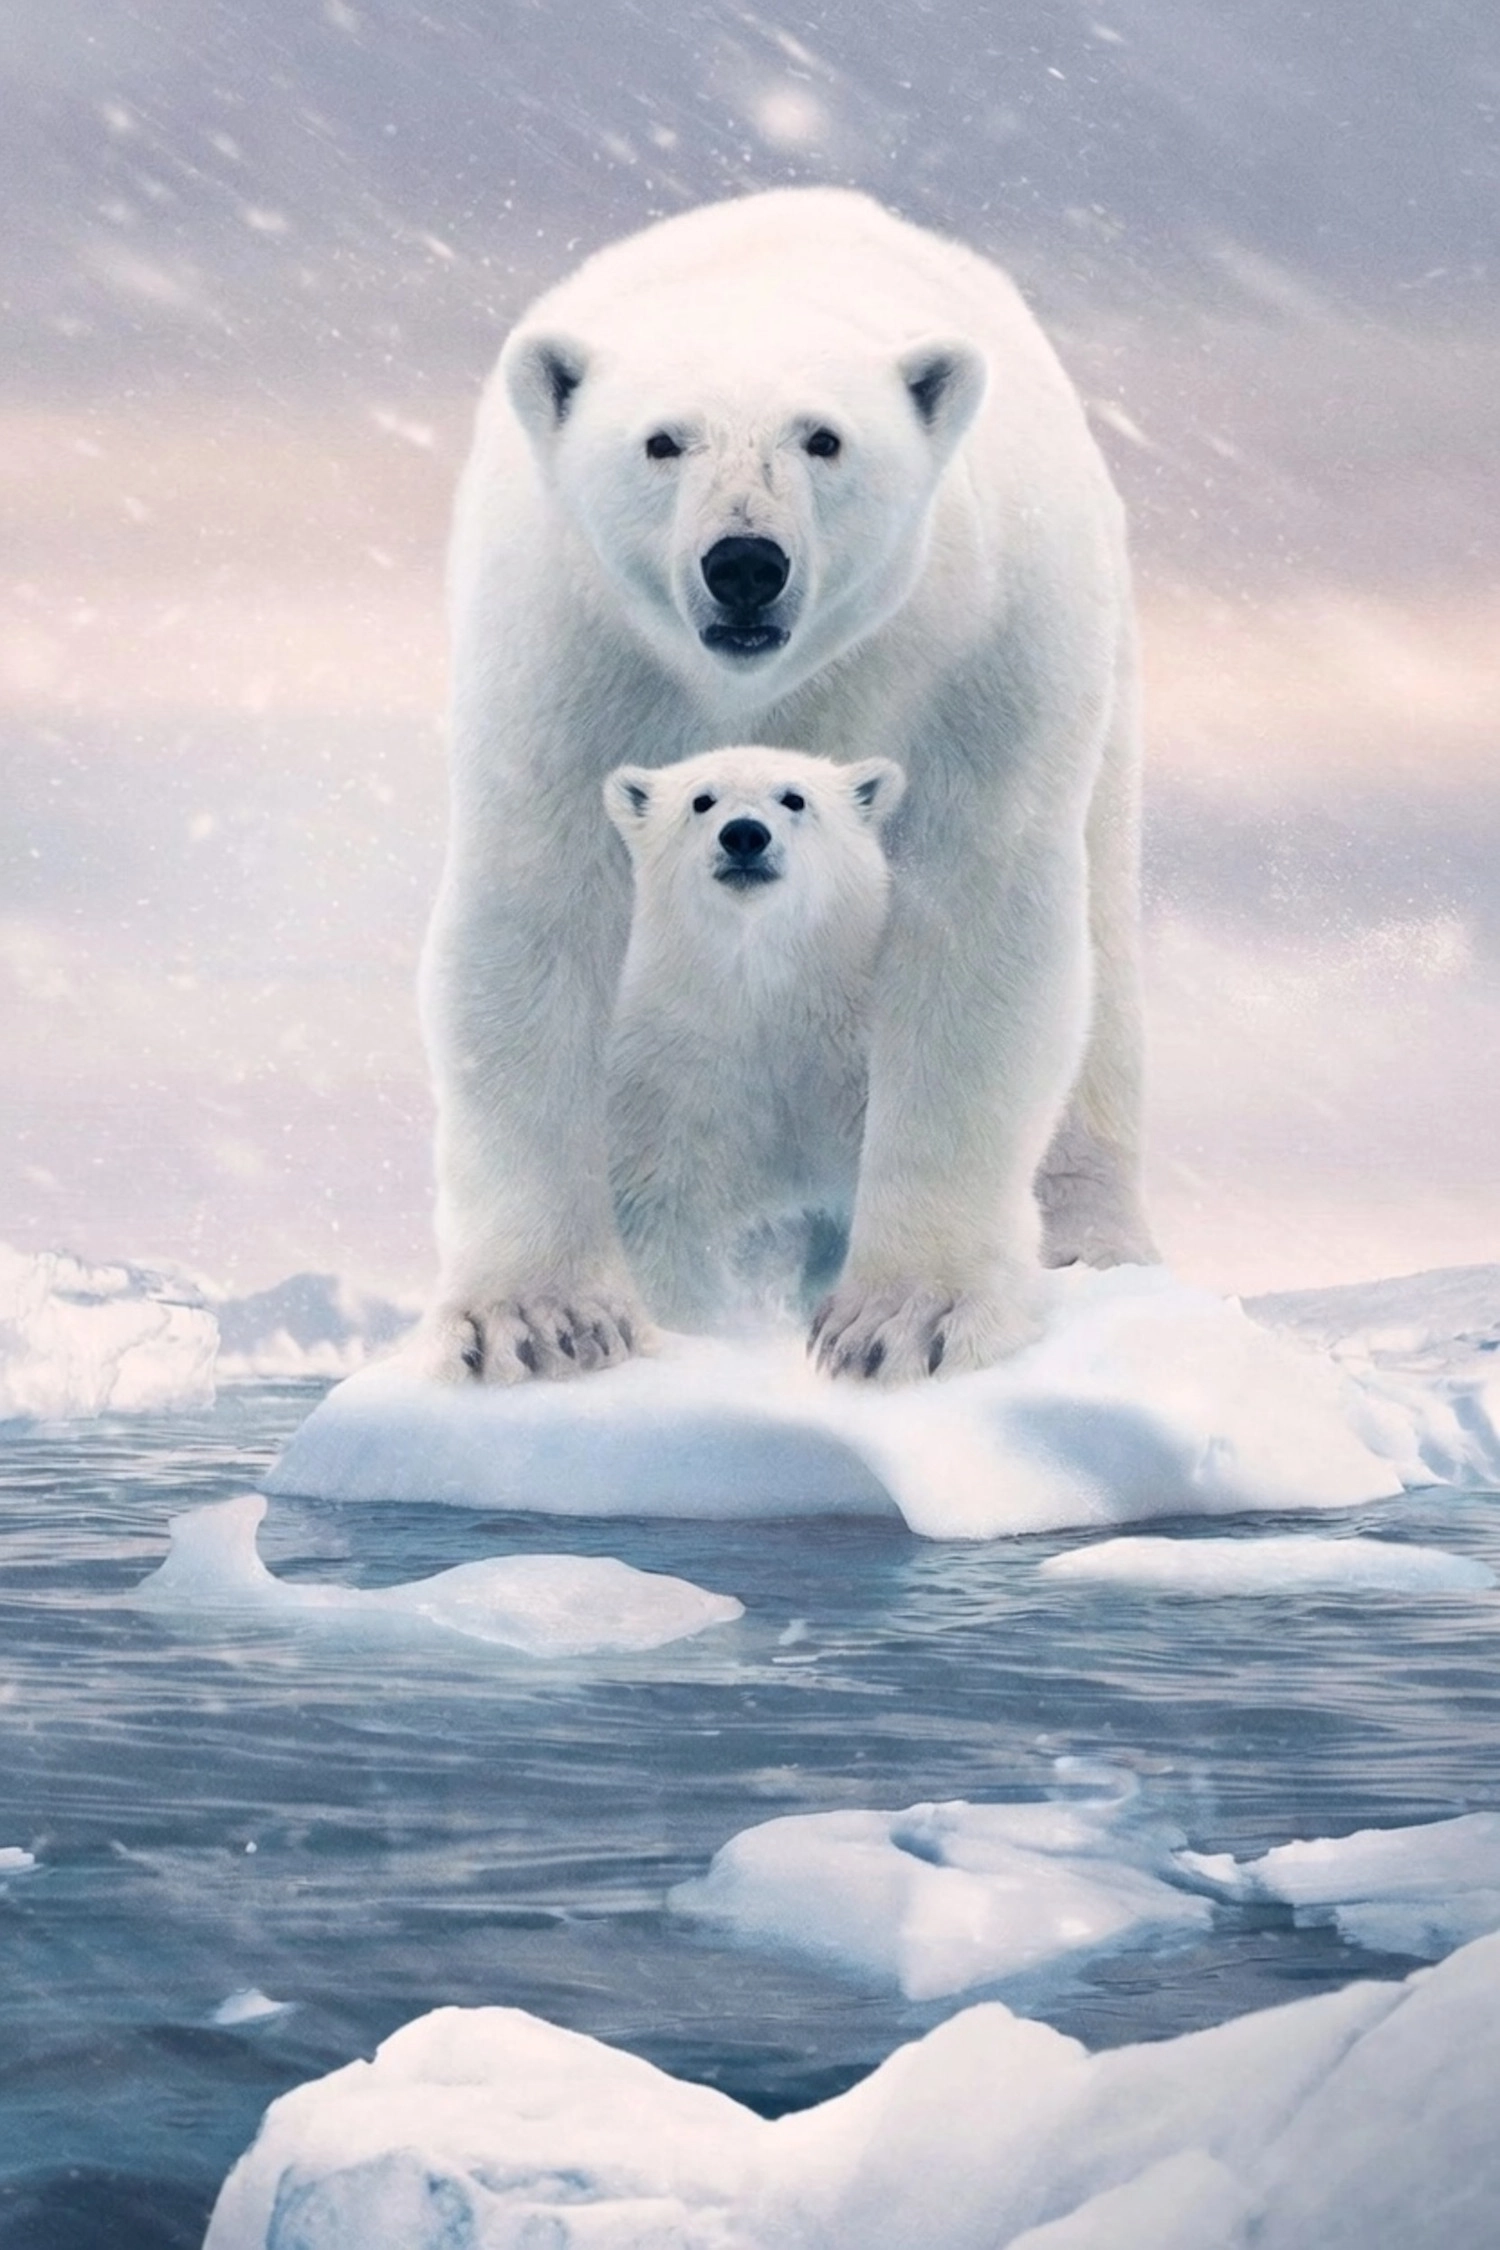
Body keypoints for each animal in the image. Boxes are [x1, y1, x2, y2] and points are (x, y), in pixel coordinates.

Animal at [603, 744, 905, 1336]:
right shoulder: (672, 1084)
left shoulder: (852, 1069)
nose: (744, 834)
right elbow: (668, 1220)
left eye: (794, 798)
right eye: (702, 800)